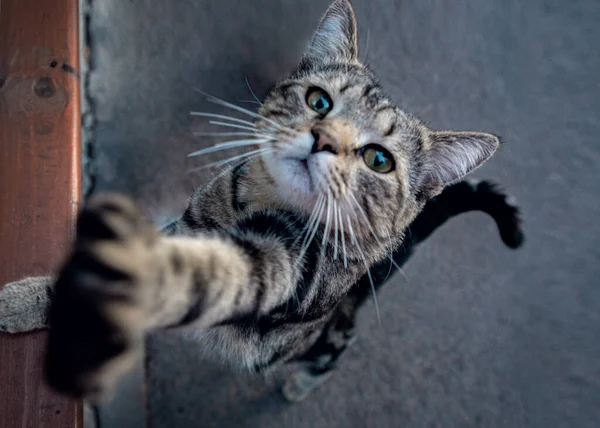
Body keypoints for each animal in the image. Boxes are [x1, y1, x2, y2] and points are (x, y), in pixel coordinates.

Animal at [0, 0, 520, 404]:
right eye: (319, 101)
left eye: (379, 159)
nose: (324, 139)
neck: (247, 208)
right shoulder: (185, 227)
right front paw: (30, 300)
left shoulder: (282, 272)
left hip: (315, 339)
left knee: (335, 348)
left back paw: (301, 384)